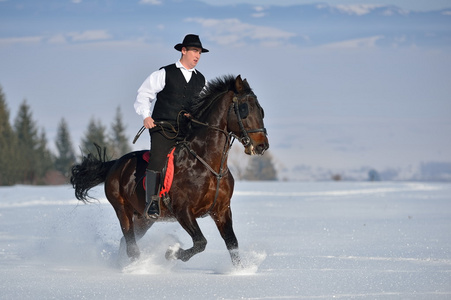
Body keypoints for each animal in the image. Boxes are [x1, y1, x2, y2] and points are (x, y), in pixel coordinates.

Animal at [70, 74, 268, 264]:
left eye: (261, 110)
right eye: (244, 109)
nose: (262, 146)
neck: (207, 164)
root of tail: (116, 163)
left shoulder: (222, 210)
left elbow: (232, 243)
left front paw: (240, 271)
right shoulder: (183, 211)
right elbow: (201, 242)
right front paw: (171, 253)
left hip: (143, 219)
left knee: (125, 242)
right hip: (122, 210)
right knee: (131, 246)